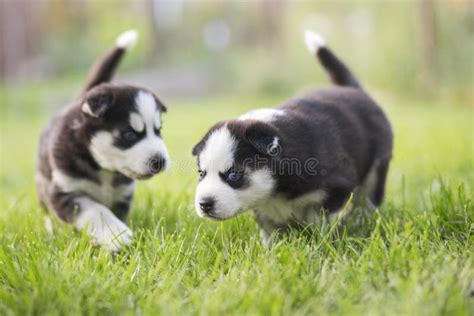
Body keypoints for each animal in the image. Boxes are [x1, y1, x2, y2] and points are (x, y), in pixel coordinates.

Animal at [37, 30, 170, 252]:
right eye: (129, 135)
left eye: (158, 131)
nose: (160, 161)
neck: (104, 170)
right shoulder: (65, 192)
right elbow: (95, 209)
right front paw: (115, 234)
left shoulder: (122, 195)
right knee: (46, 210)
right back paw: (49, 229)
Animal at [191, 31, 394, 244]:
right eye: (201, 173)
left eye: (234, 175)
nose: (204, 204)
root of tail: (354, 89)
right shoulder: (264, 210)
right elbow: (269, 231)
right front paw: (271, 248)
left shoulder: (338, 185)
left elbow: (322, 220)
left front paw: (320, 241)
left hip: (377, 168)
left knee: (368, 199)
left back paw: (360, 220)